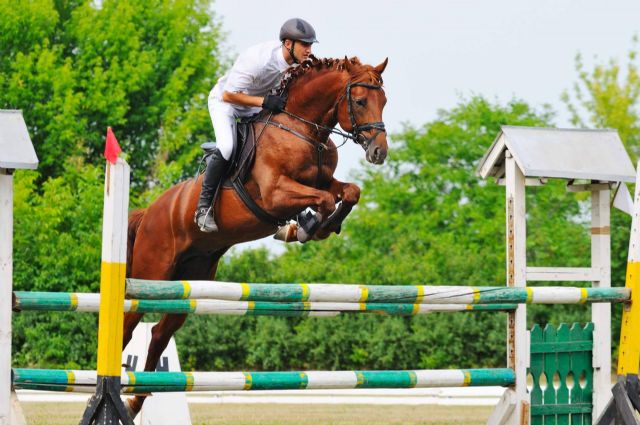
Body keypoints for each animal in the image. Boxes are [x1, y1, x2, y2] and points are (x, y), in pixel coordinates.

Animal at [122, 55, 388, 414]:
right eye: (360, 102)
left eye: (384, 101)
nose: (379, 152)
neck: (305, 130)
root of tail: (148, 212)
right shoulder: (276, 194)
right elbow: (324, 199)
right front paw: (306, 228)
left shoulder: (322, 181)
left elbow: (349, 192)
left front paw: (316, 226)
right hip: (152, 273)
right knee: (128, 325)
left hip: (190, 281)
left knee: (160, 334)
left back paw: (137, 399)